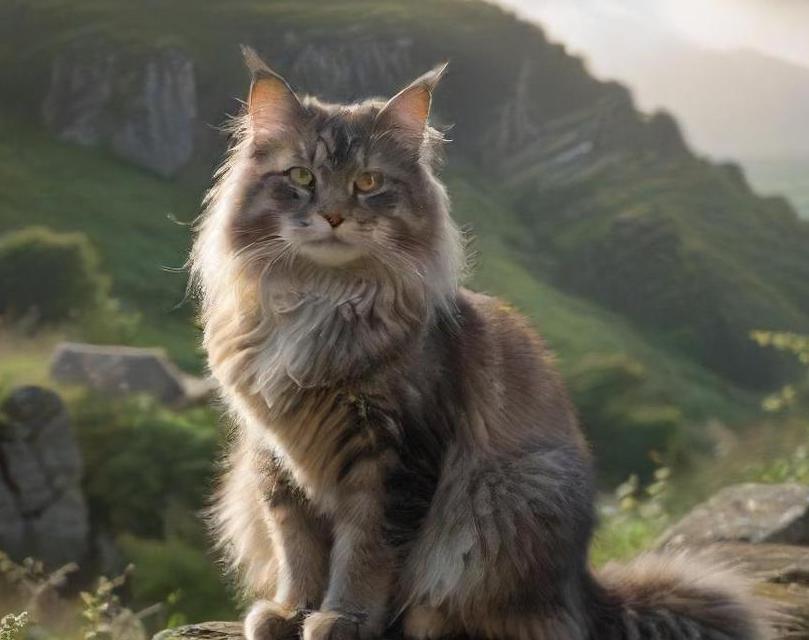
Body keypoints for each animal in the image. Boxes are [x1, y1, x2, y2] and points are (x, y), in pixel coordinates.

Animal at [191, 47, 772, 640]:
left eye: (369, 182)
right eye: (302, 176)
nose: (333, 216)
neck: (320, 299)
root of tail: (583, 587)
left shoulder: (394, 457)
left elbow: (364, 554)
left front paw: (343, 617)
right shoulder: (273, 459)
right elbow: (299, 549)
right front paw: (290, 611)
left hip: (506, 494)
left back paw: (422, 621)